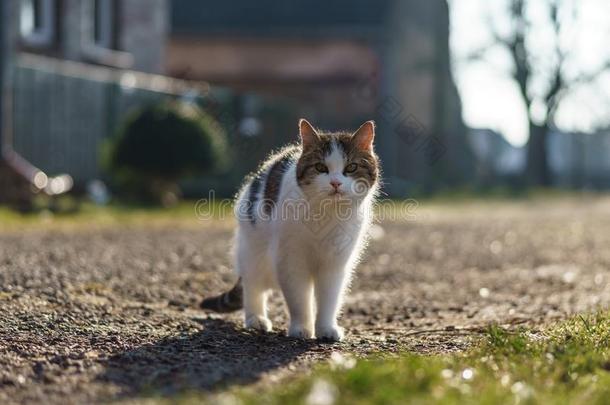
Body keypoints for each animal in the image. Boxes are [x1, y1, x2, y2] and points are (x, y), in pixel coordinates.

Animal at [202, 118, 378, 340]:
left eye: (351, 167)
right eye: (320, 167)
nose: (336, 183)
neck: (327, 214)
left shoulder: (335, 263)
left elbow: (329, 298)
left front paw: (325, 329)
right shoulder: (290, 258)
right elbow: (298, 297)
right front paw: (301, 328)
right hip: (252, 251)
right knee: (252, 286)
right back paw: (256, 319)